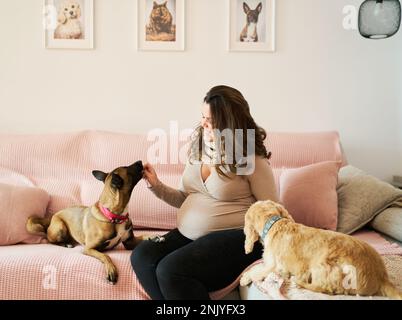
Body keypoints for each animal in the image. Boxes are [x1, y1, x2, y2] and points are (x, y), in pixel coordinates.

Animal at [240, 200, 400, 300]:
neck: (275, 224)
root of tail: (382, 277)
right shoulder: (269, 264)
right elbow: (257, 267)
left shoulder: (276, 267)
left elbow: (257, 271)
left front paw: (244, 278)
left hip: (323, 266)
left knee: (325, 289)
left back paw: (298, 282)